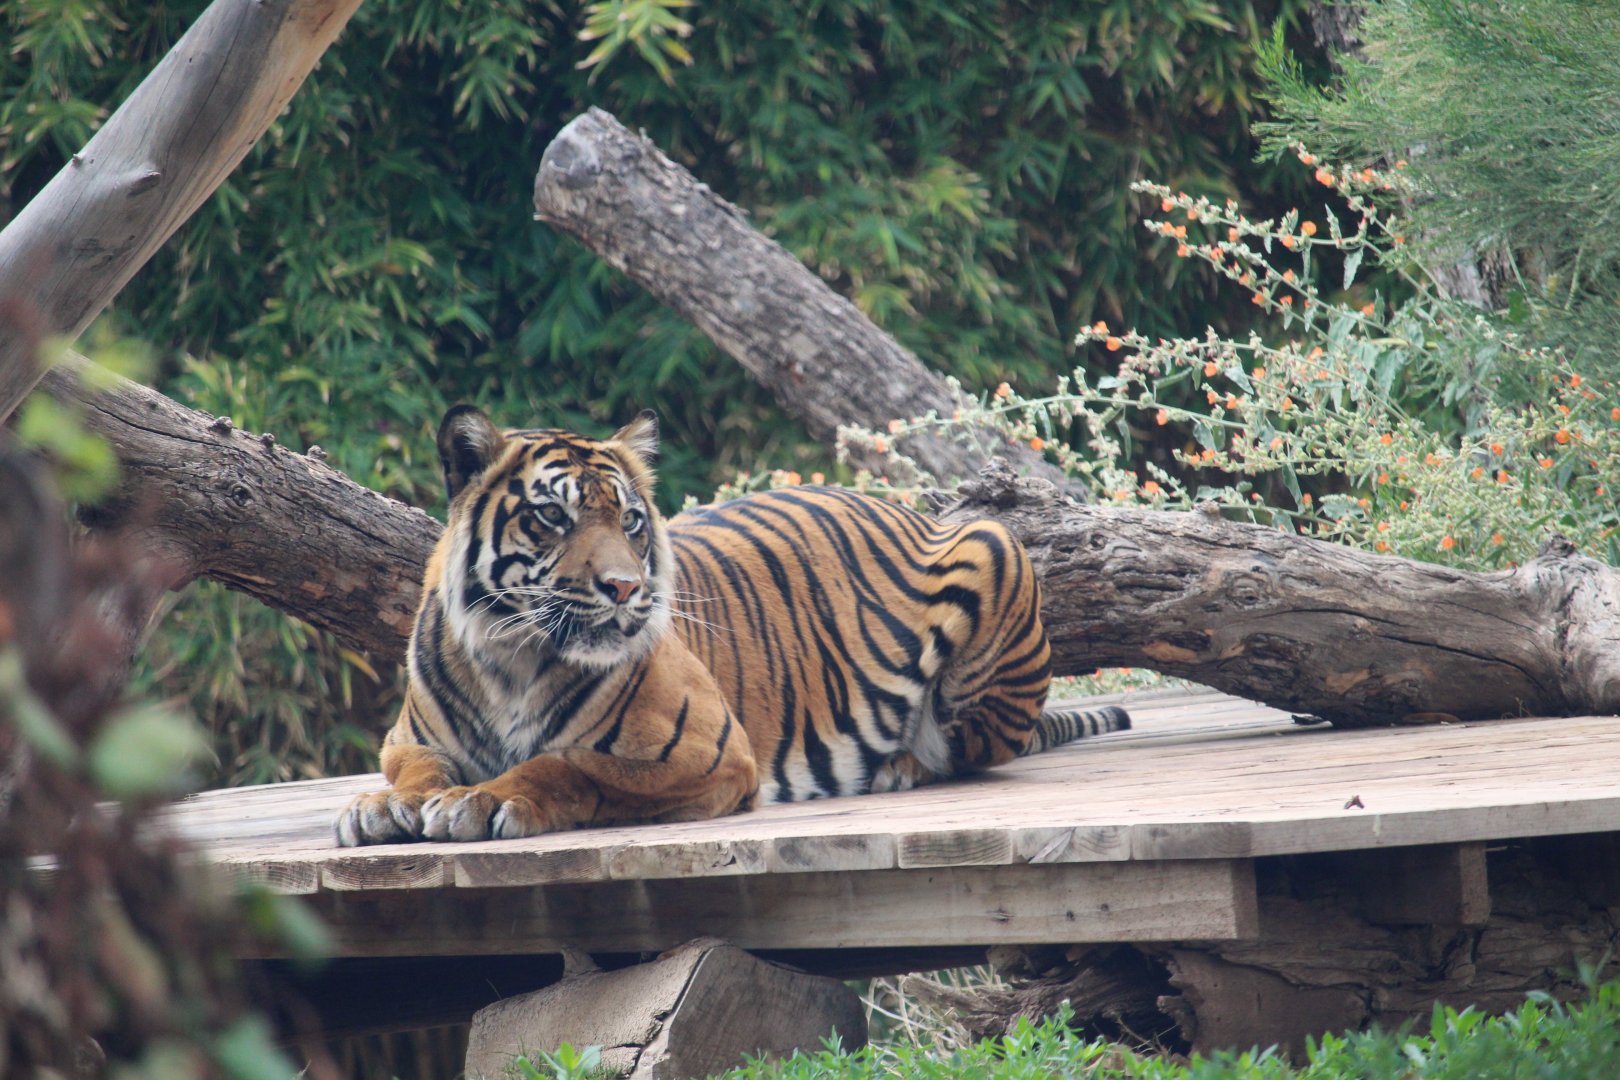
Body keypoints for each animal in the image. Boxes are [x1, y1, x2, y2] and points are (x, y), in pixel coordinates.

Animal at [335, 405, 1129, 846]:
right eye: (552, 515)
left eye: (630, 520)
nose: (624, 587)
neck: (512, 659)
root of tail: (907, 510)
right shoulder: (408, 738)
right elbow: (418, 770)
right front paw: (384, 808)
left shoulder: (709, 751)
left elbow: (570, 763)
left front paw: (483, 800)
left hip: (994, 543)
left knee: (963, 745)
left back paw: (899, 764)